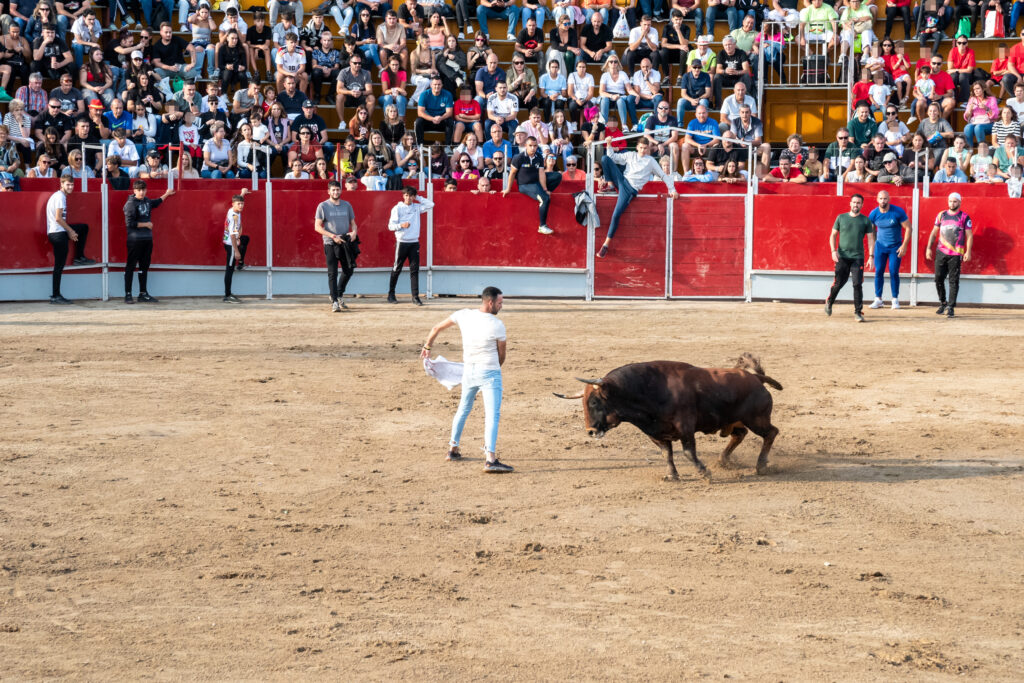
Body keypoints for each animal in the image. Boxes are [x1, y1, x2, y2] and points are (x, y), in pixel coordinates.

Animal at [557, 358, 778, 481]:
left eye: (594, 402)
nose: (591, 431)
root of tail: (756, 378)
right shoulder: (656, 433)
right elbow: (667, 454)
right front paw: (672, 475)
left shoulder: (685, 428)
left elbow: (688, 452)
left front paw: (704, 473)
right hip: (735, 421)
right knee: (740, 434)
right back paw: (723, 460)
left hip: (756, 418)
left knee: (771, 433)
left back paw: (761, 466)